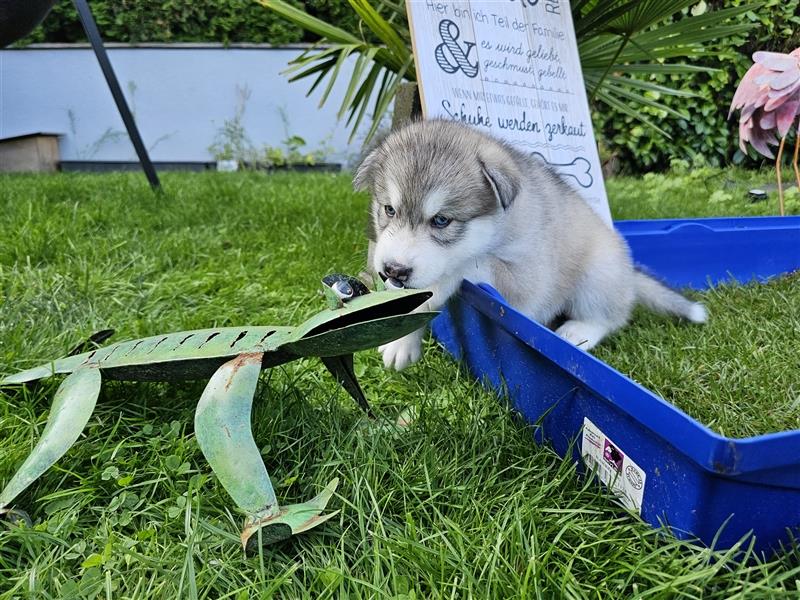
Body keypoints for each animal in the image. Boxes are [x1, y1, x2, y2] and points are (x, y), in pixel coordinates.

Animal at [356, 119, 708, 368]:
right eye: (389, 209)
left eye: (442, 220)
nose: (393, 270)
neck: (500, 225)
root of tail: (629, 273)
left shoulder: (525, 282)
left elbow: (465, 266)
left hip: (598, 273)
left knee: (610, 318)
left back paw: (578, 331)